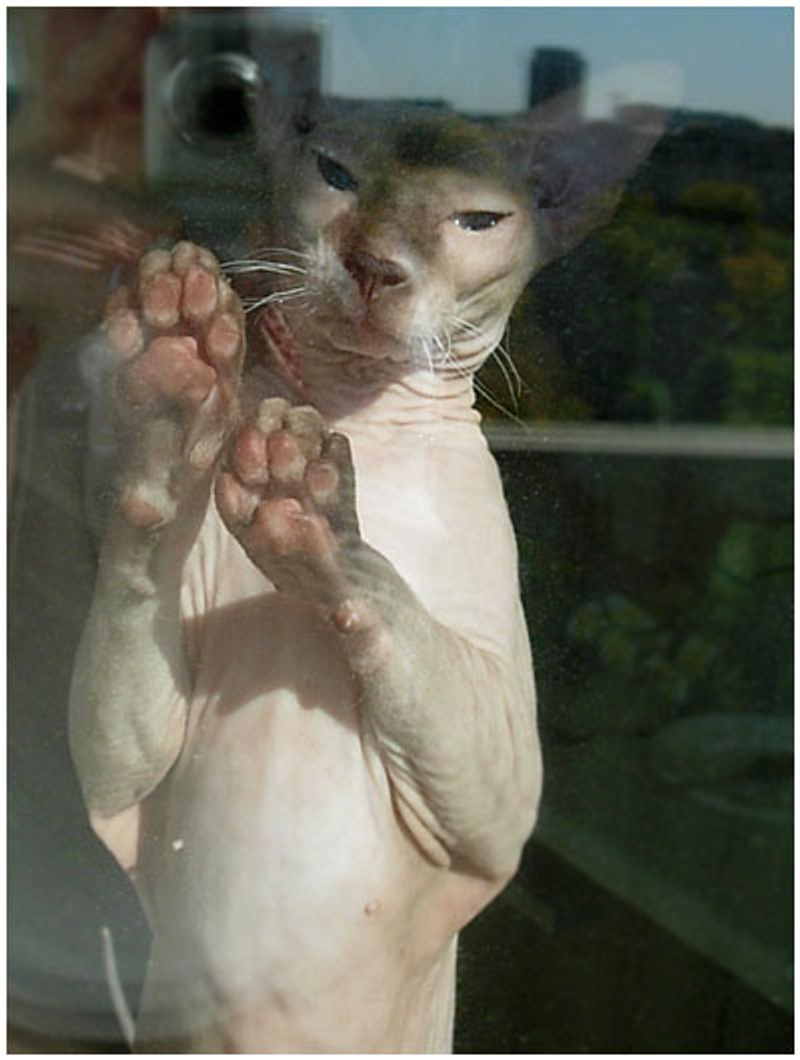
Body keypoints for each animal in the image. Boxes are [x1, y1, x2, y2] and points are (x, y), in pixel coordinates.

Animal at [68, 99, 652, 1051]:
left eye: (477, 219)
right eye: (336, 175)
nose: (375, 266)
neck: (350, 413)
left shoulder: (497, 810)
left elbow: (388, 599)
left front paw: (314, 519)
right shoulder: (125, 779)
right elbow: (138, 543)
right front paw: (170, 399)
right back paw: (173, 365)